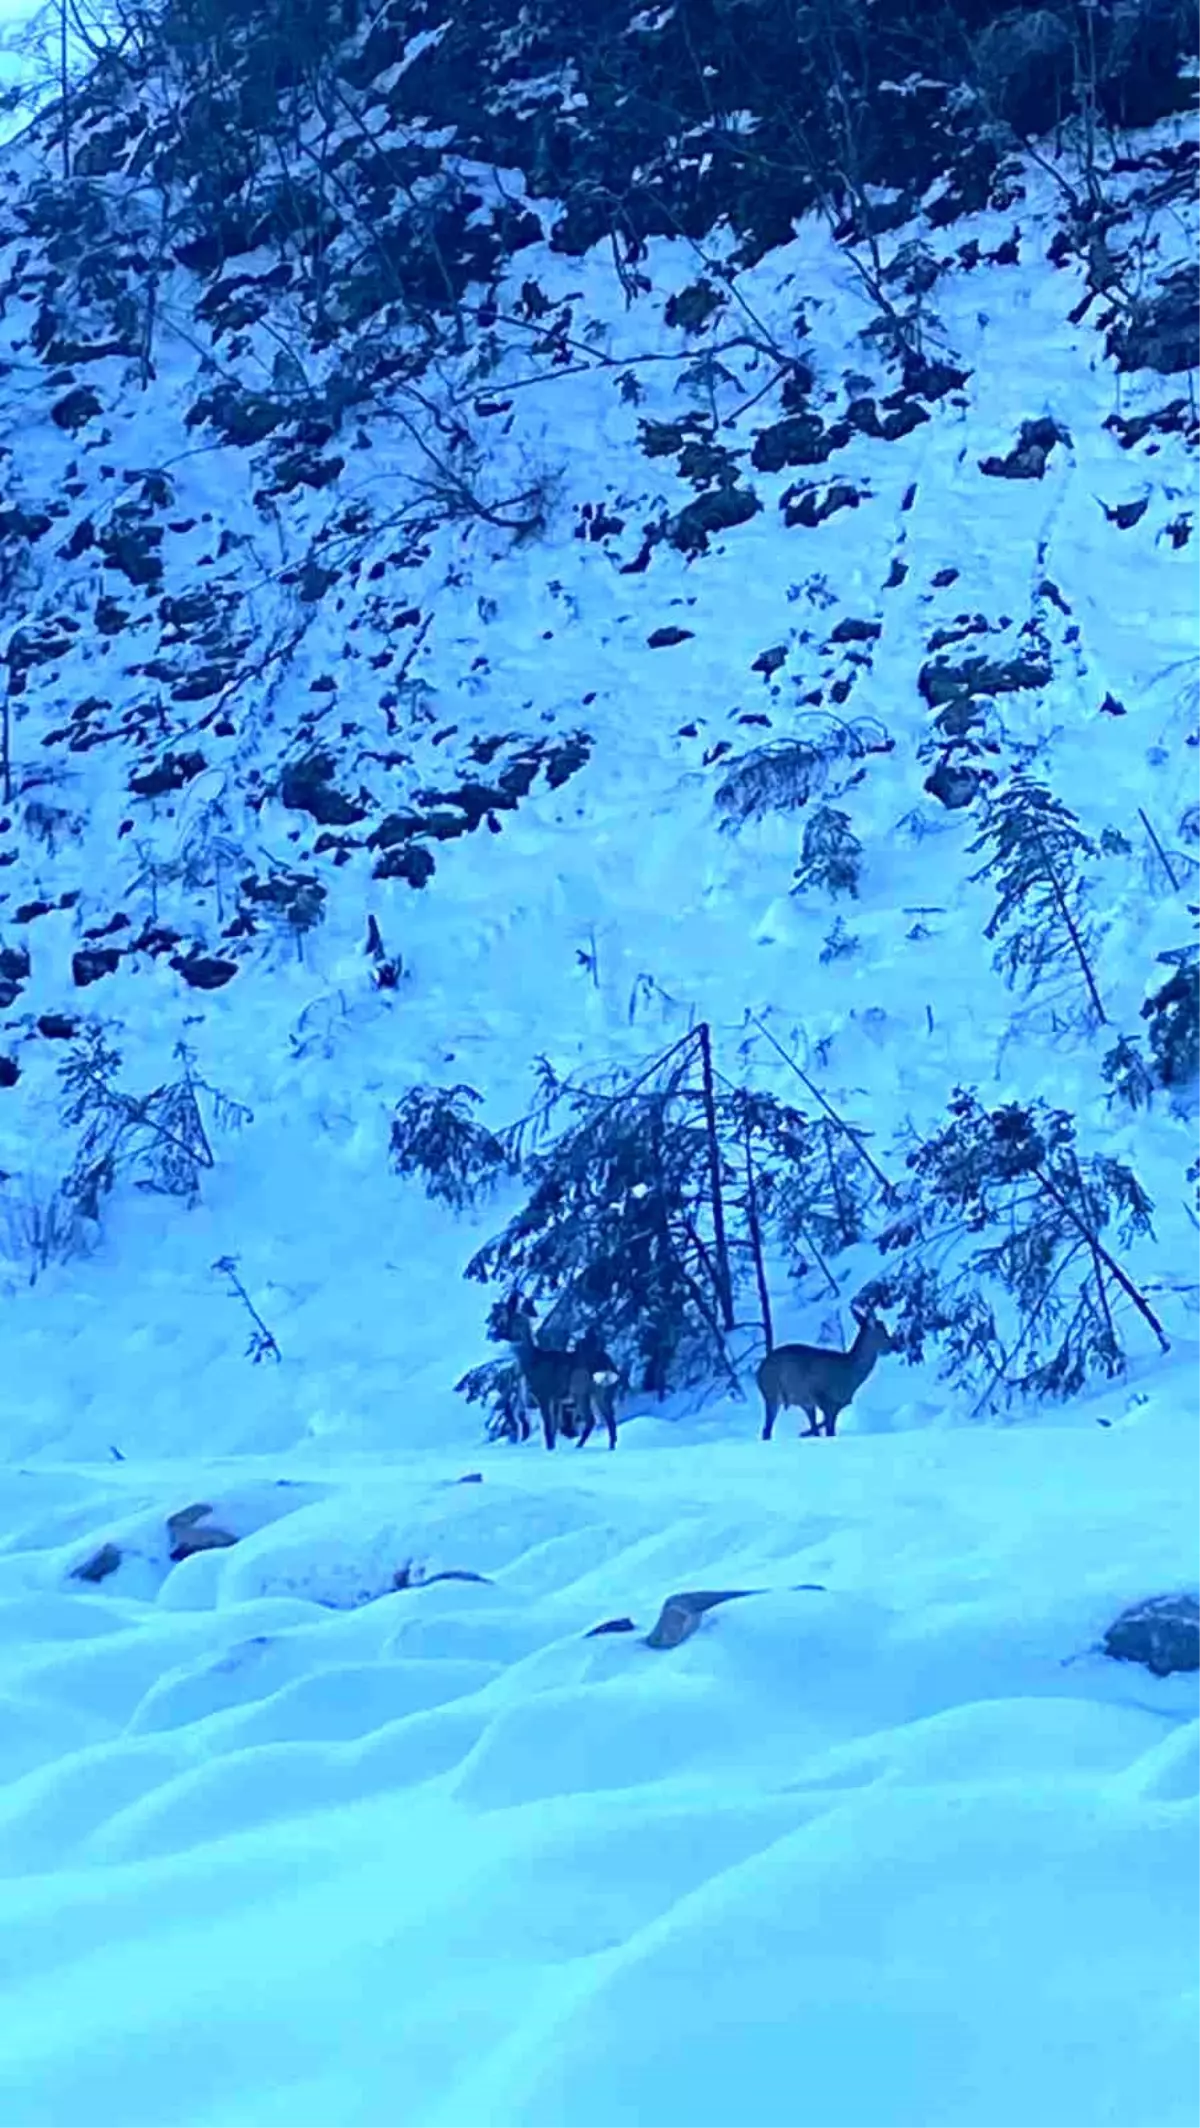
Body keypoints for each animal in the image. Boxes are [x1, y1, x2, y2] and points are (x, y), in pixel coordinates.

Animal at [502, 1285, 625, 1455]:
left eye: (519, 1322)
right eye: (508, 1320)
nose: (505, 1335)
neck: (532, 1362)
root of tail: (605, 1365)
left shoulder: (544, 1394)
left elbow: (548, 1428)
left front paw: (549, 1451)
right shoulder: (556, 1399)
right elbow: (553, 1429)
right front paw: (552, 1449)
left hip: (580, 1389)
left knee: (592, 1420)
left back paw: (579, 1447)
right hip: (605, 1390)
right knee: (610, 1420)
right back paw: (609, 1447)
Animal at [753, 1302, 893, 1438]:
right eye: (883, 1332)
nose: (892, 1345)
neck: (849, 1372)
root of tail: (759, 1371)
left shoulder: (834, 1404)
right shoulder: (826, 1400)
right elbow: (830, 1432)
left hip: (804, 1401)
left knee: (810, 1428)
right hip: (772, 1392)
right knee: (767, 1430)